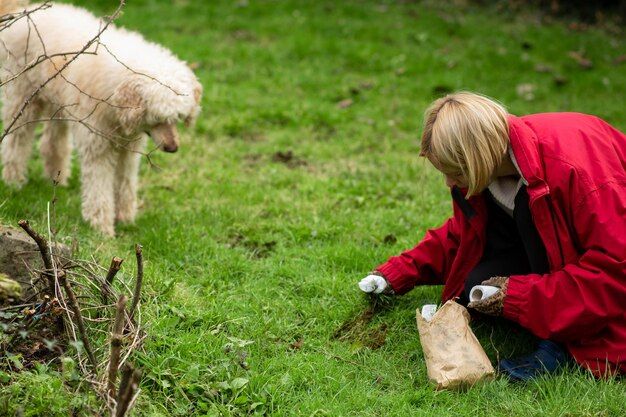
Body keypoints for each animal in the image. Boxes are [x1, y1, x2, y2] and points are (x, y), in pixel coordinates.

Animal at [0, 0, 200, 234]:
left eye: (177, 118)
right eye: (157, 118)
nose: (172, 148)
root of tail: (20, 12)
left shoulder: (128, 149)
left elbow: (125, 182)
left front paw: (125, 218)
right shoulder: (97, 147)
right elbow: (99, 187)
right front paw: (101, 226)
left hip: (58, 104)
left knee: (52, 144)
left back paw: (57, 178)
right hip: (23, 98)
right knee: (16, 142)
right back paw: (14, 180)